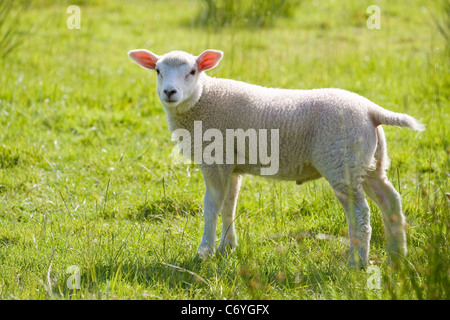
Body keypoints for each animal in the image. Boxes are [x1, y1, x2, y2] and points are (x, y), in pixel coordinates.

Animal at [127, 48, 426, 268]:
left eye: (192, 72)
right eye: (157, 71)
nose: (169, 92)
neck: (203, 101)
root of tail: (371, 110)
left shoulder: (214, 159)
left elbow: (212, 205)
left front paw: (204, 252)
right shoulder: (230, 163)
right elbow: (229, 205)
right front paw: (227, 247)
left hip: (341, 162)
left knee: (360, 213)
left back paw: (358, 263)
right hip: (368, 163)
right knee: (390, 201)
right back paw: (397, 256)